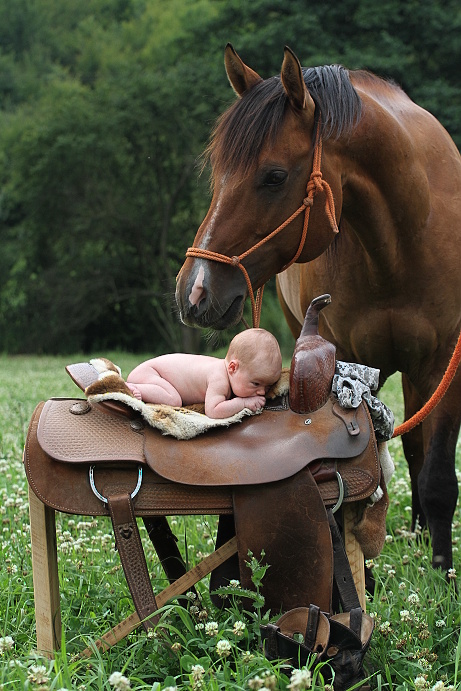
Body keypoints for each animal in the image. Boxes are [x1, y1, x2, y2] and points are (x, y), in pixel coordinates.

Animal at [175, 44, 460, 572]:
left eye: (274, 176)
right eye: (217, 173)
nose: (194, 293)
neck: (402, 242)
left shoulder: (445, 363)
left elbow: (436, 478)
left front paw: (443, 571)